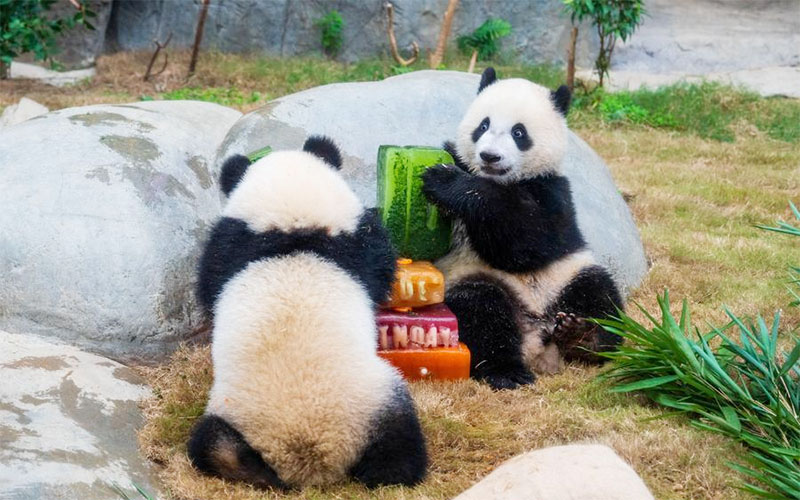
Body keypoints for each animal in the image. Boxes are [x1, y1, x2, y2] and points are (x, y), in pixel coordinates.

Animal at [188, 136, 428, 489]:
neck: (292, 231)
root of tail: (310, 456)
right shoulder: (355, 241)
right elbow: (381, 265)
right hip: (375, 396)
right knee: (400, 440)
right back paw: (397, 472)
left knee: (212, 445)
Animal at [421, 68, 623, 390]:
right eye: (483, 125)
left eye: (519, 133)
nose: (490, 157)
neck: (500, 180)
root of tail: (538, 335)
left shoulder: (555, 193)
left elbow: (528, 242)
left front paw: (447, 182)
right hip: (470, 278)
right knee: (481, 311)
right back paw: (508, 370)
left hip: (568, 273)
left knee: (599, 294)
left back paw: (583, 337)